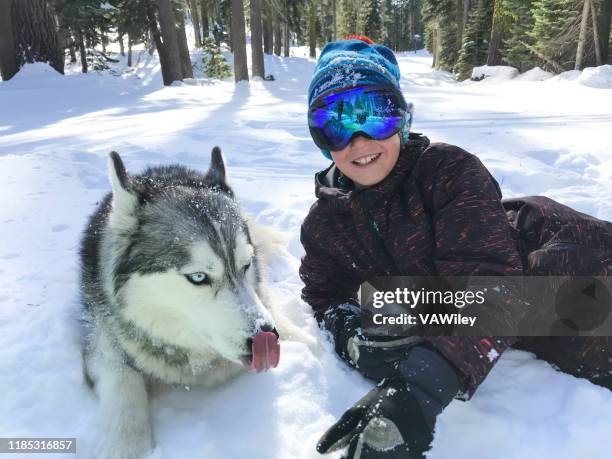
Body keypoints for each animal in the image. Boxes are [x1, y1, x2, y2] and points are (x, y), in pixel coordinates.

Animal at [81, 149, 298, 458]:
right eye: (198, 277)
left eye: (246, 265)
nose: (265, 336)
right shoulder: (101, 346)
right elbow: (123, 384)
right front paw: (127, 447)